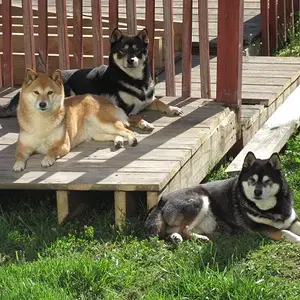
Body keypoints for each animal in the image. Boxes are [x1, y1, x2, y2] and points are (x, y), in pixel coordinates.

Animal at [0, 28, 183, 131]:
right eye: (122, 50)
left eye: (137, 50)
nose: (131, 60)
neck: (135, 80)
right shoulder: (123, 108)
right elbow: (136, 117)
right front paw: (144, 123)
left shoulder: (146, 100)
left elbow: (159, 101)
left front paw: (172, 108)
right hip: (67, 91)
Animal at [145, 152, 300, 244]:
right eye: (252, 180)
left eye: (267, 181)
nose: (257, 192)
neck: (271, 208)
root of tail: (162, 200)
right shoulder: (260, 228)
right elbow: (284, 231)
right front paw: (297, 239)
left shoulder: (293, 220)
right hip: (200, 200)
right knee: (184, 229)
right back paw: (201, 238)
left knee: (172, 231)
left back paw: (176, 237)